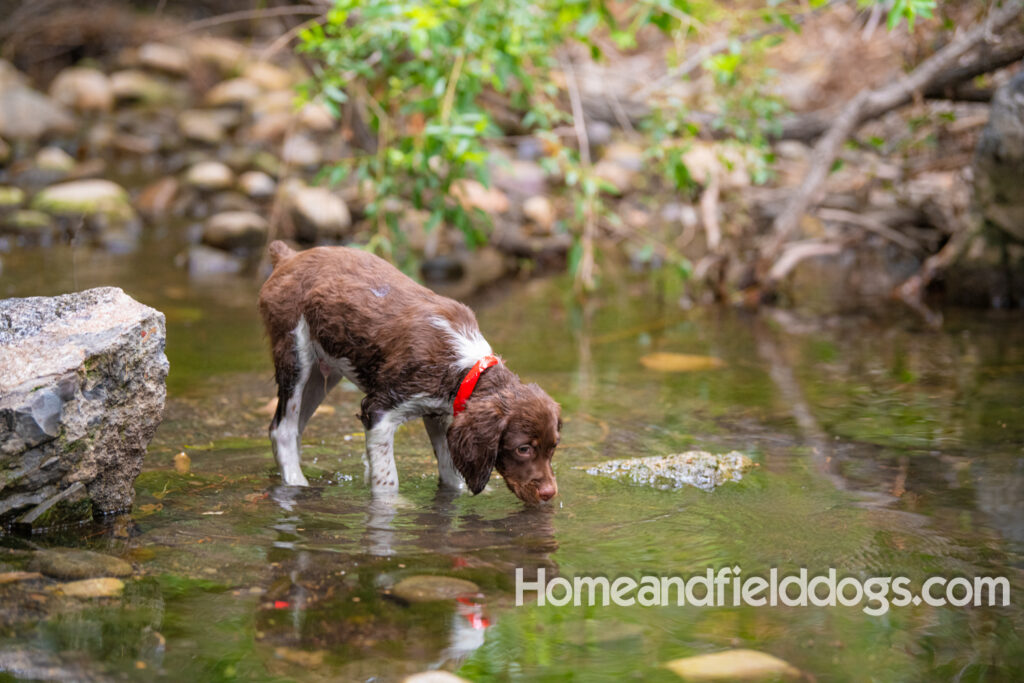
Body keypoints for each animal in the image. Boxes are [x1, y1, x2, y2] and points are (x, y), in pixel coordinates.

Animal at [256, 242, 561, 505]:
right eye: (523, 448)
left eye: (554, 447)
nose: (549, 494)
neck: (465, 366)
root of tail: (288, 256)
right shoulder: (379, 411)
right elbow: (387, 478)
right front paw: (394, 505)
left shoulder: (441, 417)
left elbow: (451, 476)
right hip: (294, 355)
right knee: (282, 430)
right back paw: (297, 483)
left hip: (322, 377)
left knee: (294, 428)